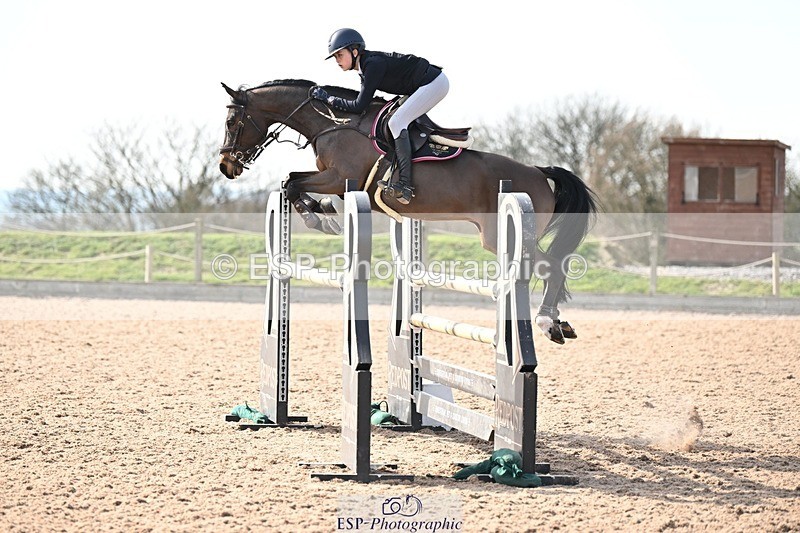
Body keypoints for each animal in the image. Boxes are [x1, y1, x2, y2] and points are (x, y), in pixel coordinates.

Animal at [218, 79, 598, 344]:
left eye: (232, 121)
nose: (226, 166)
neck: (333, 124)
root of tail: (539, 172)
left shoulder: (340, 177)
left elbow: (292, 183)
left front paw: (317, 217)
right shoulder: (339, 183)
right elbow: (293, 182)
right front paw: (322, 212)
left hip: (498, 236)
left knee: (551, 265)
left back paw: (547, 322)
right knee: (552, 265)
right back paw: (560, 320)